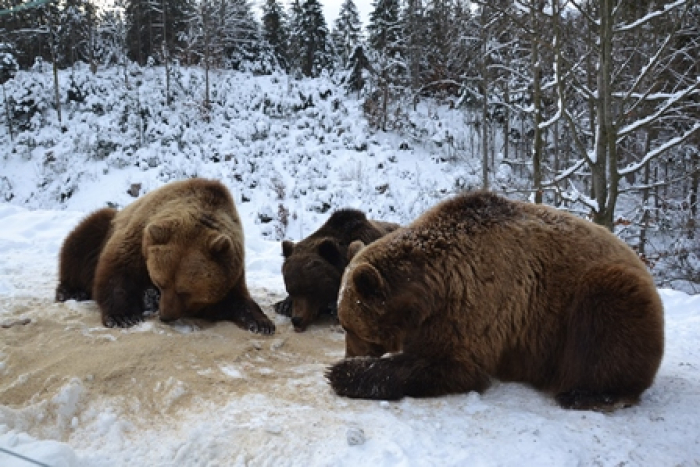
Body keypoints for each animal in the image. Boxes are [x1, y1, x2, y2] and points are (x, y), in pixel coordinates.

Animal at [56, 177, 274, 334]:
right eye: (161, 282)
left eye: (185, 291)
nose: (165, 316)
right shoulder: (139, 239)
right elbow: (117, 272)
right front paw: (123, 316)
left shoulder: (230, 270)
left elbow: (234, 300)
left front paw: (262, 323)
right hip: (105, 226)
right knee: (84, 238)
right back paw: (70, 291)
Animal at [326, 192, 664, 412]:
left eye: (349, 326)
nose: (349, 353)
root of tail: (638, 261)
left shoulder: (477, 303)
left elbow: (453, 363)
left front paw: (342, 373)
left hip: (598, 292)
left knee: (608, 320)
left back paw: (585, 393)